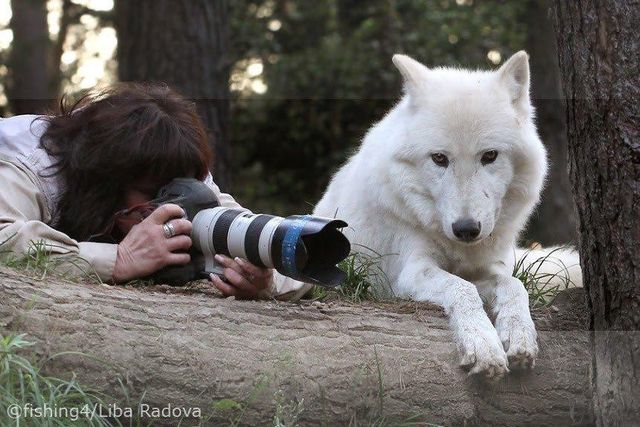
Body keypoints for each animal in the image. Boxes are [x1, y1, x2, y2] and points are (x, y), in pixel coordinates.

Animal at [274, 51, 582, 378]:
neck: (457, 247)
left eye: (489, 156)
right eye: (439, 158)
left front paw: (519, 335)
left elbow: (514, 285)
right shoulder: (410, 272)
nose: (466, 229)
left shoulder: (489, 269)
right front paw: (483, 346)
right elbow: (462, 289)